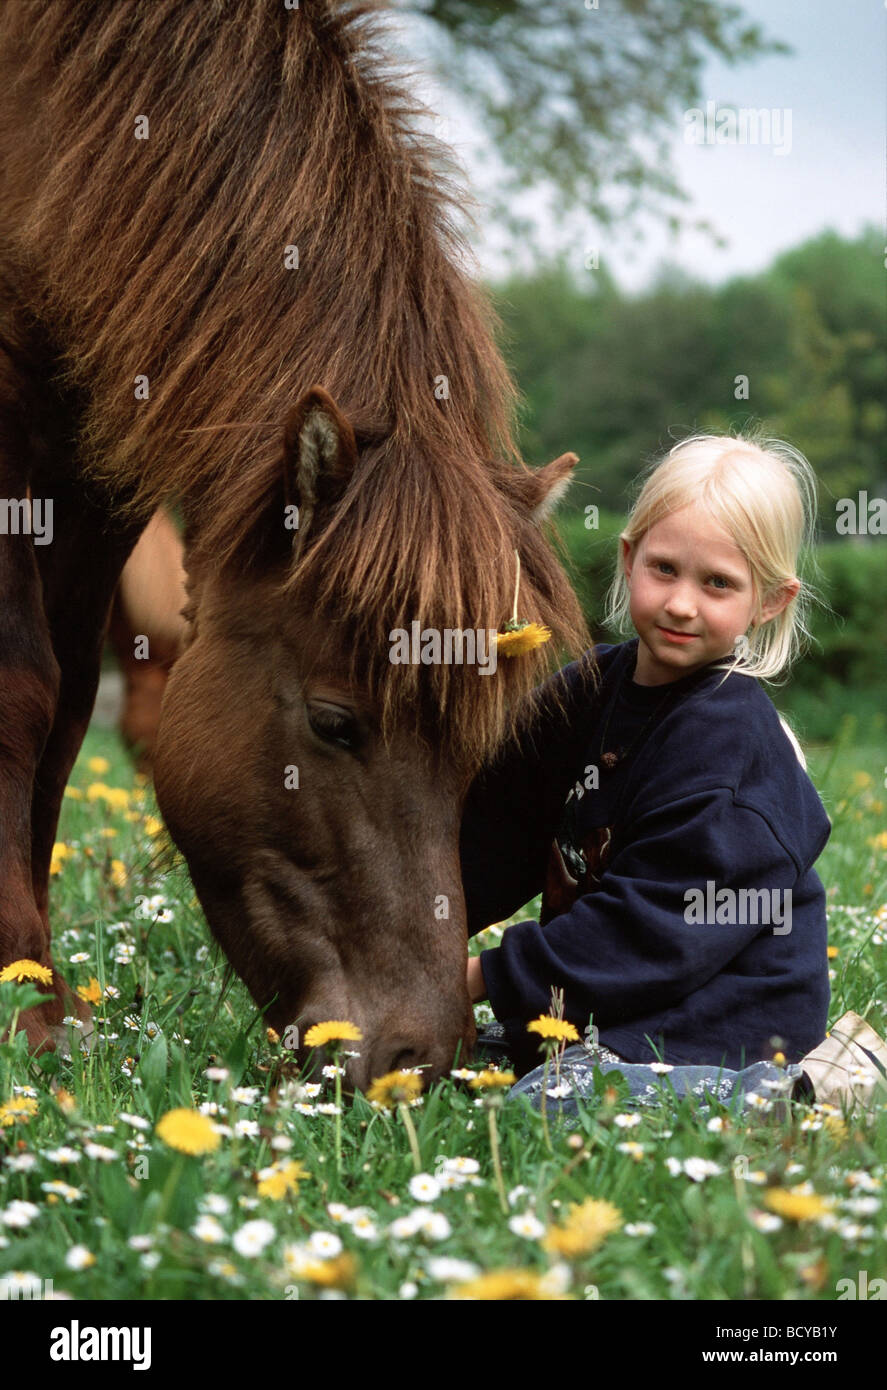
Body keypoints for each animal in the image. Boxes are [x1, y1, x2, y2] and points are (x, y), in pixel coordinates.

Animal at [0, 0, 589, 1084]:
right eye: (334, 722)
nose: (414, 1058)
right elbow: (19, 690)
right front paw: (23, 1004)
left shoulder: (90, 464)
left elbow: (63, 712)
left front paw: (46, 1003)